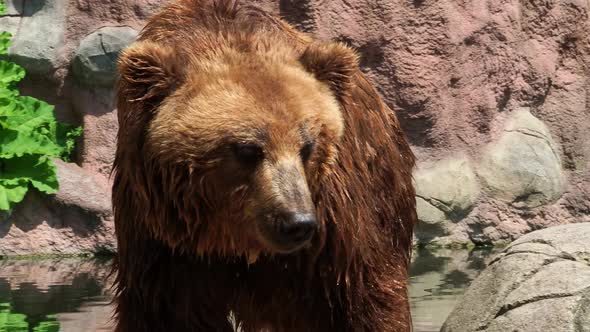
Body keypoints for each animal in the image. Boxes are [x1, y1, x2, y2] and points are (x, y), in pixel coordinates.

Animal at [113, 1, 418, 330]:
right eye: (248, 149)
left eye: (307, 146)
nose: (297, 222)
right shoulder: (162, 236)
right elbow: (166, 312)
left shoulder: (334, 226)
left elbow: (363, 297)